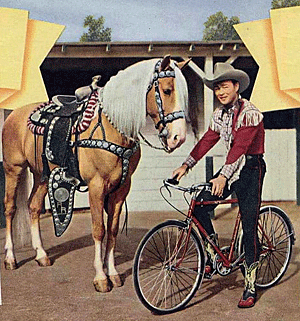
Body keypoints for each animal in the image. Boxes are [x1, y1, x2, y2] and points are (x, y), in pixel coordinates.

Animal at [2, 55, 189, 292]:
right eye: (166, 90)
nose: (178, 137)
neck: (112, 126)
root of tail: (14, 114)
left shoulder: (121, 188)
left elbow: (113, 230)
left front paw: (114, 274)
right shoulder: (96, 186)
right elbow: (99, 229)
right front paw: (101, 277)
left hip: (42, 175)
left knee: (33, 206)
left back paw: (41, 255)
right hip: (13, 169)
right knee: (10, 208)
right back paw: (10, 258)